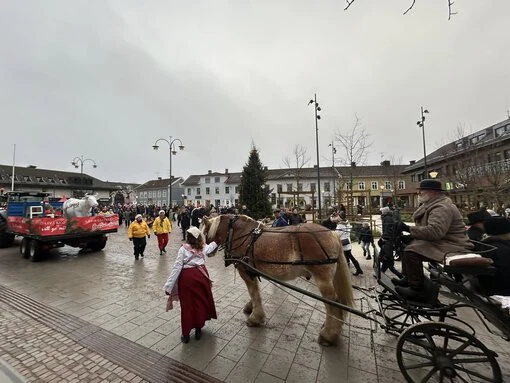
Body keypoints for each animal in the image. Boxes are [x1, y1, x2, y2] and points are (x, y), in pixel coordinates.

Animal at [201, 214, 352, 346]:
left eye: (205, 232)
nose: (207, 252)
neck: (240, 233)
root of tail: (333, 234)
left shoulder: (245, 271)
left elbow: (253, 292)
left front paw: (255, 317)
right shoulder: (252, 271)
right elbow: (255, 292)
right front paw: (251, 307)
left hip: (323, 278)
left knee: (333, 303)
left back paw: (328, 335)